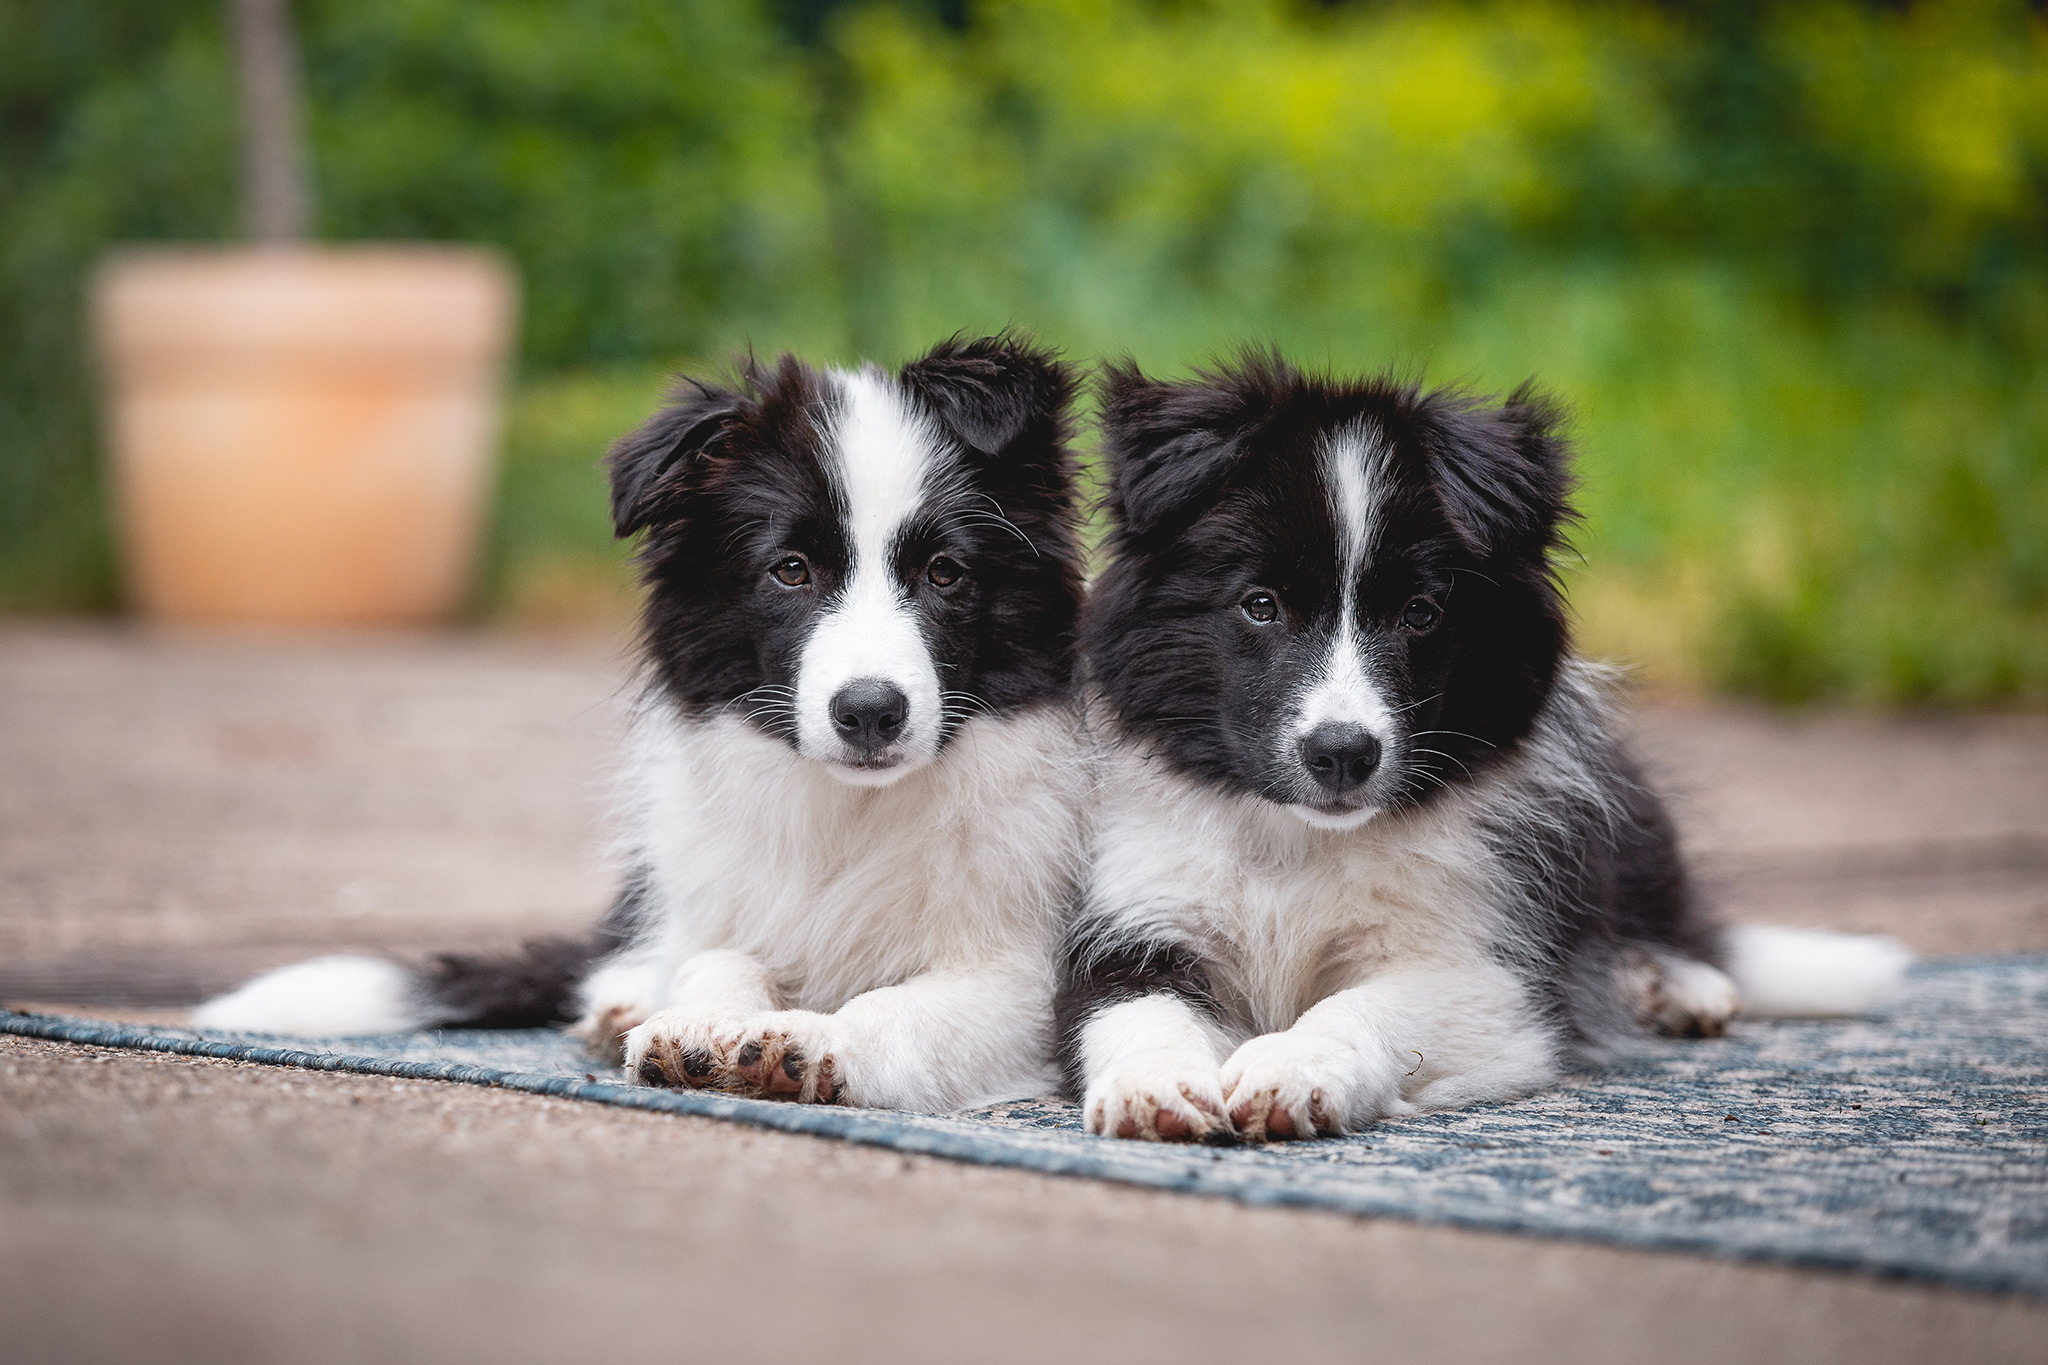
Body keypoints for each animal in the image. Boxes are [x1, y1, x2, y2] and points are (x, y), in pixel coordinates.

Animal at [201, 335, 1097, 1113]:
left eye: (945, 573)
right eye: (791, 570)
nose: (870, 711)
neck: (855, 808)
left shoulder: (1028, 978)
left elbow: (909, 1008)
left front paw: (818, 1042)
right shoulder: (719, 899)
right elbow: (714, 956)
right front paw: (694, 1023)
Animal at [1064, 351, 1908, 1146]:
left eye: (1420, 612)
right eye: (1261, 605)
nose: (1342, 754)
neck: (1298, 842)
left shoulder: (1492, 976)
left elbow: (1366, 1005)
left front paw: (1294, 1065)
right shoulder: (1133, 914)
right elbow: (1131, 1005)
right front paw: (1152, 1087)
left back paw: (1678, 986)